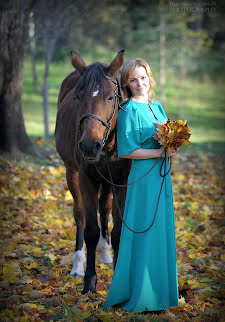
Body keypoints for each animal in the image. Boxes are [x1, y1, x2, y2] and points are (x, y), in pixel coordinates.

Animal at [54, 50, 131, 294]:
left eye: (111, 97)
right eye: (78, 97)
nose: (89, 145)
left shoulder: (122, 181)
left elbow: (117, 230)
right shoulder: (85, 178)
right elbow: (90, 230)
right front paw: (89, 280)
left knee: (104, 207)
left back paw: (105, 253)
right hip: (71, 173)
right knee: (79, 215)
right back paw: (78, 264)